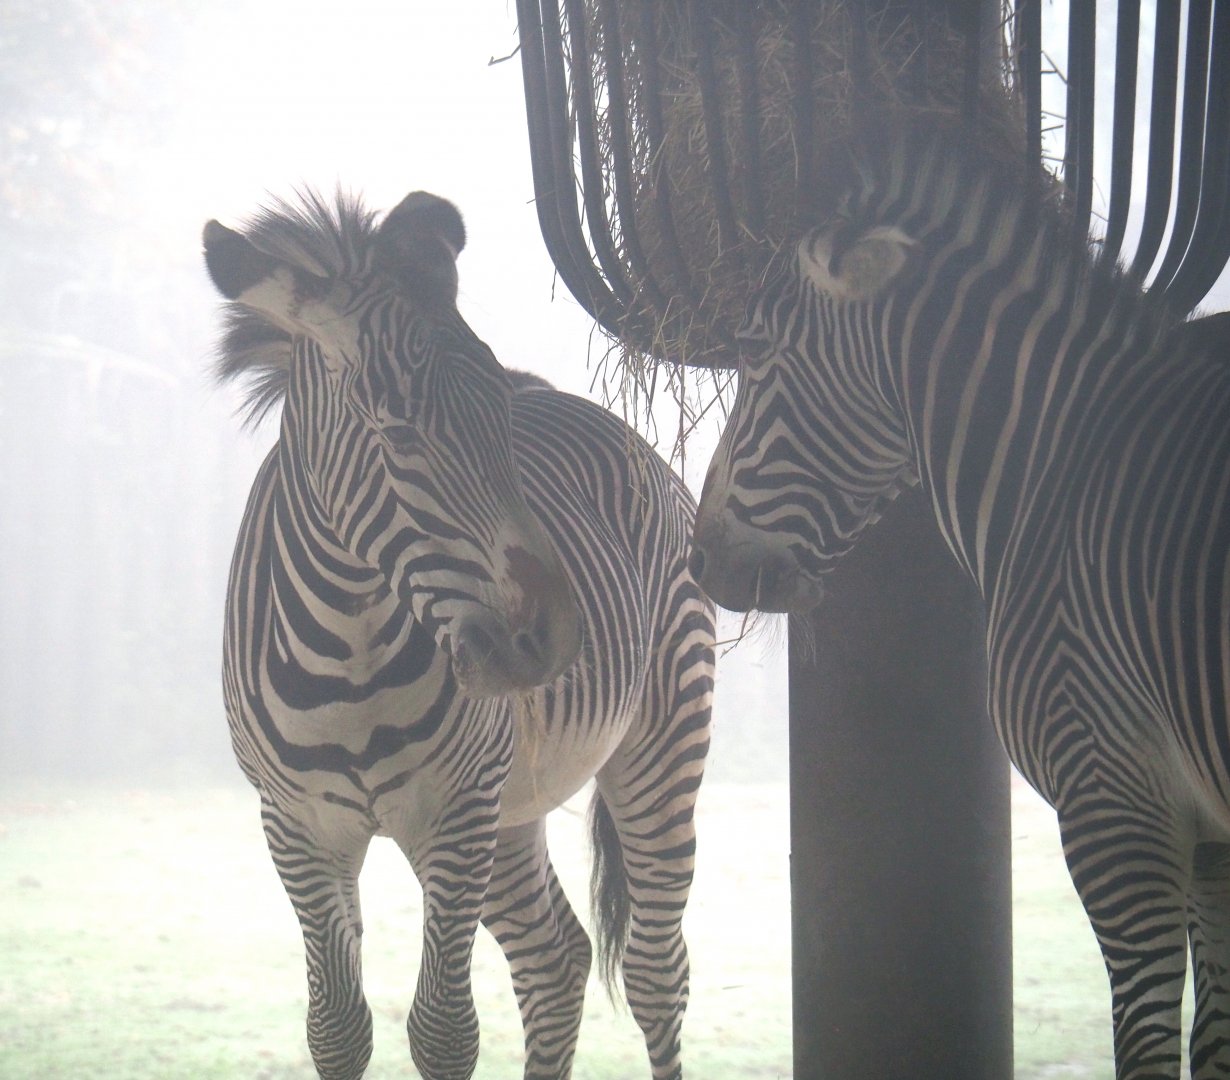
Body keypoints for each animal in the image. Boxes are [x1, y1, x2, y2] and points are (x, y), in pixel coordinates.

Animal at [203, 189, 714, 1080]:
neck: (351, 645)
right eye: (397, 430)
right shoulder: (298, 825)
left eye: (501, 412)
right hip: (514, 808)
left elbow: (444, 1030)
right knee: (555, 959)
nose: (556, 637)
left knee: (656, 972)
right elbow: (336, 1026)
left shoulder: (456, 810)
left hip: (659, 747)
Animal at [688, 131, 1230, 1080]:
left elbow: (1149, 1045)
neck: (1059, 464)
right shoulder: (1209, 843)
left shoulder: (1113, 799)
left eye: (753, 354)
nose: (698, 557)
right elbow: (1216, 1039)